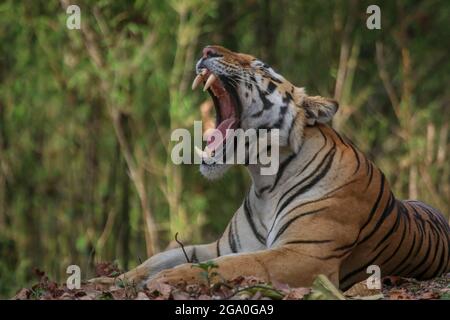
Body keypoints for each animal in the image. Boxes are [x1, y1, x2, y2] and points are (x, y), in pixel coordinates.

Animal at [90, 45, 446, 292]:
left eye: (261, 66)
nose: (206, 51)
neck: (265, 181)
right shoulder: (221, 246)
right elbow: (163, 257)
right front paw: (106, 282)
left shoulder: (305, 255)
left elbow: (230, 266)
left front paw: (166, 279)